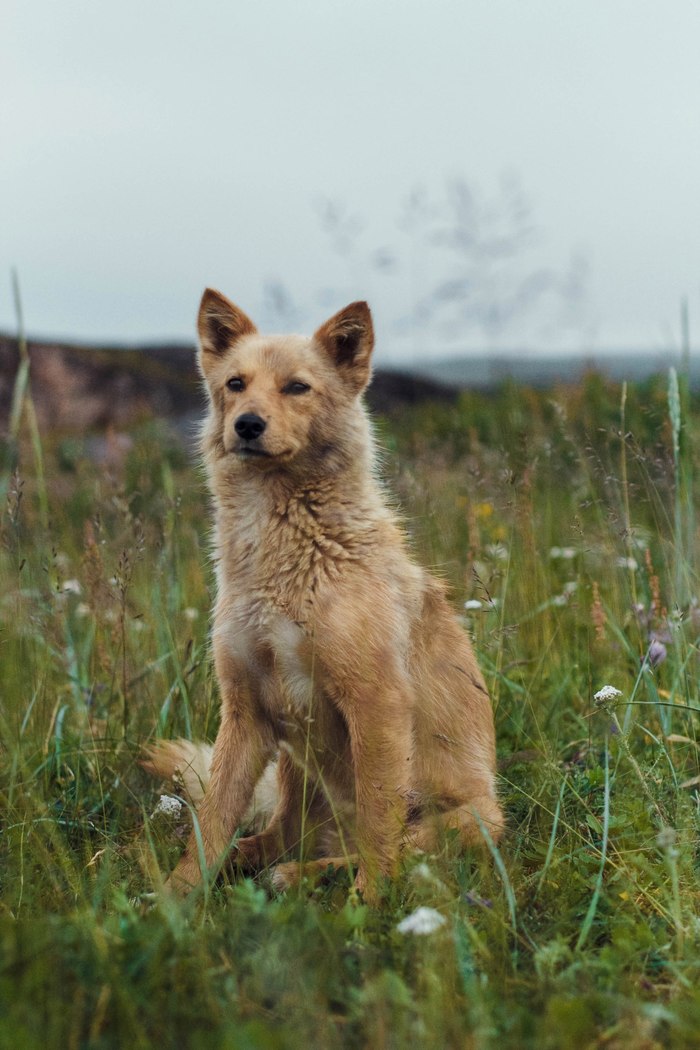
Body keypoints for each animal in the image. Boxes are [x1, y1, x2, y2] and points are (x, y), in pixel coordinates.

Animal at [143, 289, 503, 902]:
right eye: (236, 384)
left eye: (297, 387)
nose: (247, 425)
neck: (287, 552)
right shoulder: (245, 711)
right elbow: (210, 822)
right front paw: (174, 898)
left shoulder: (377, 702)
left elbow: (380, 831)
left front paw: (369, 903)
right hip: (294, 764)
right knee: (276, 835)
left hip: (468, 819)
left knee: (387, 850)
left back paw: (309, 876)